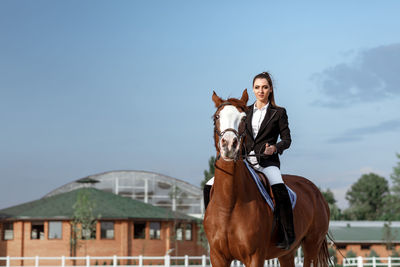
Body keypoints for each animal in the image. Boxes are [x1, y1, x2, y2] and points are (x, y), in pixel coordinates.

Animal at [203, 89, 332, 267]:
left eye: (244, 118)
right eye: (216, 117)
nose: (229, 145)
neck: (229, 204)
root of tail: (315, 191)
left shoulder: (255, 256)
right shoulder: (217, 257)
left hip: (312, 246)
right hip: (287, 253)